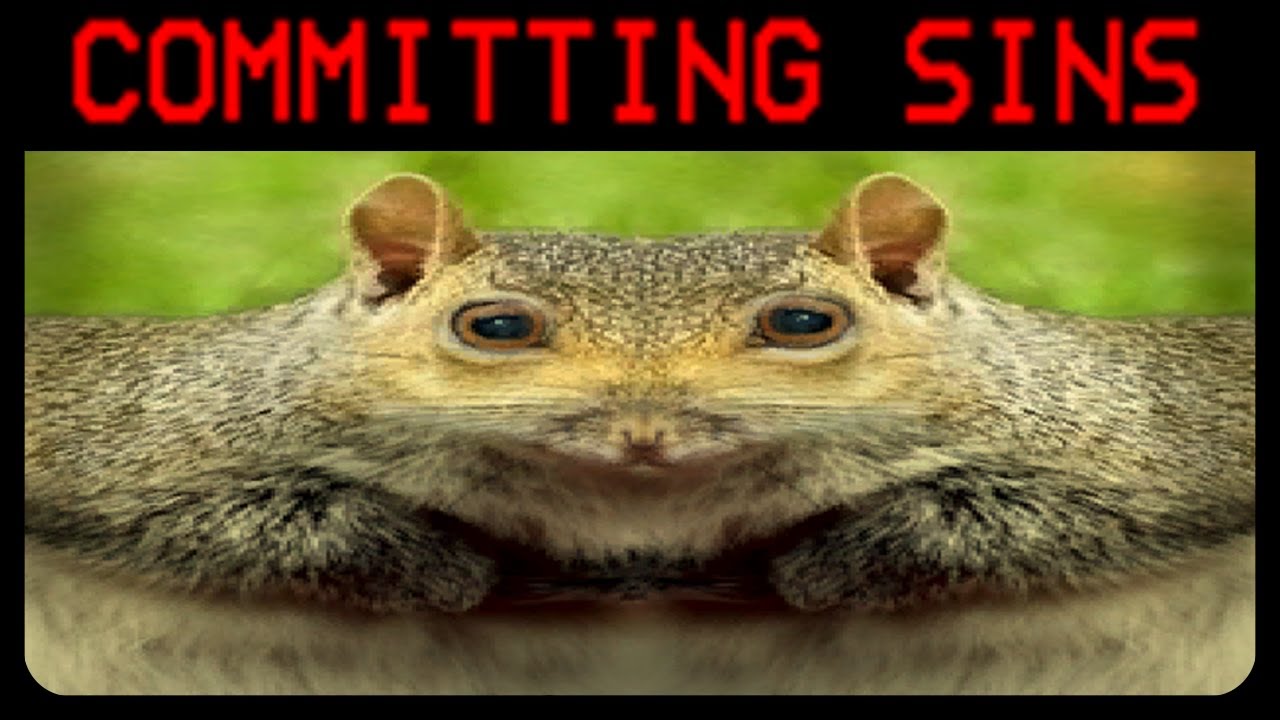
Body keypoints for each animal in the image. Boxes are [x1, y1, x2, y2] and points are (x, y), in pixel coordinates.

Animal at [24, 171, 1254, 694]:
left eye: (802, 323)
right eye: (496, 326)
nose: (646, 431)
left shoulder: (1148, 452)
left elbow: (998, 520)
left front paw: (811, 566)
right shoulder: (136, 450)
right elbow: (269, 523)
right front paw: (456, 568)